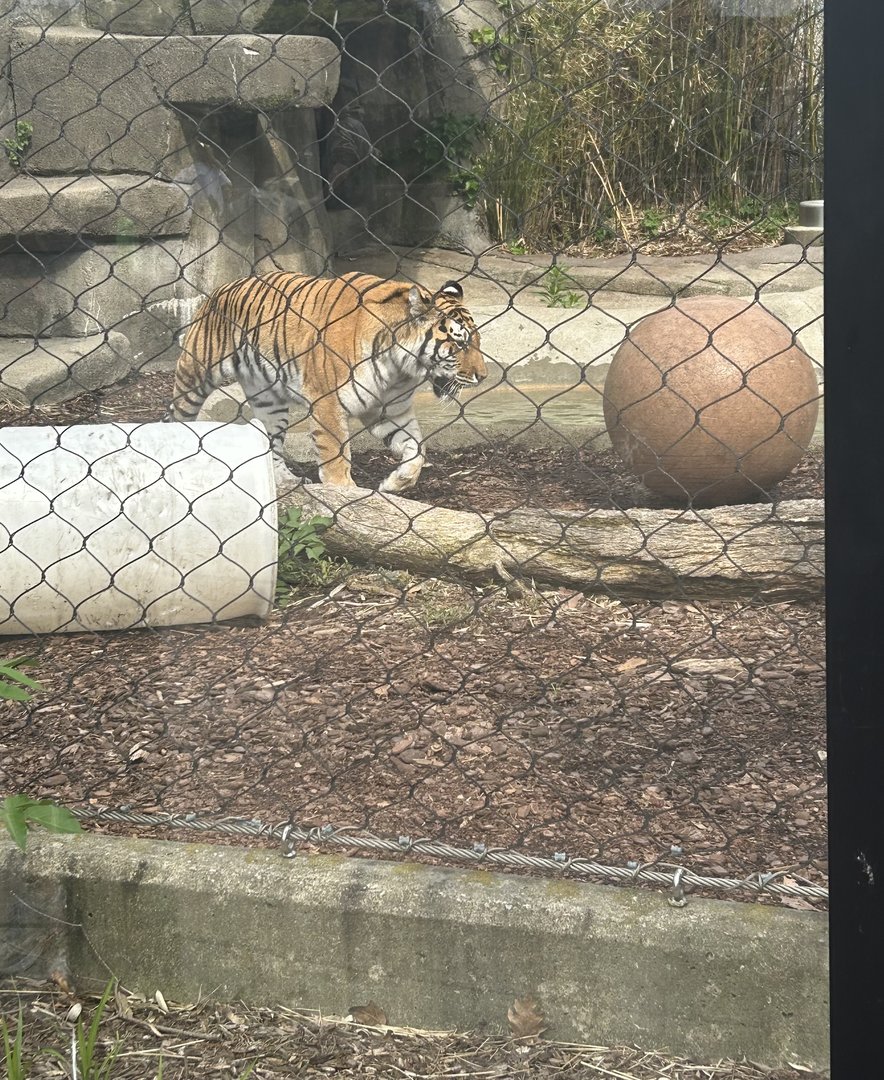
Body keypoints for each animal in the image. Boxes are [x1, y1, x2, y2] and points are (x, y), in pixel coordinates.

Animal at [167, 271, 486, 493]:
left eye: (478, 342)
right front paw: (343, 492)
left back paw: (286, 481)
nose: (482, 376)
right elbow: (335, 452)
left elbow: (417, 450)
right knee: (176, 417)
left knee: (272, 445)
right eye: (459, 344)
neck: (399, 367)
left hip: (269, 401)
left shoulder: (389, 410)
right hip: (194, 374)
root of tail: (222, 287)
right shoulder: (327, 401)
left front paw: (394, 484)